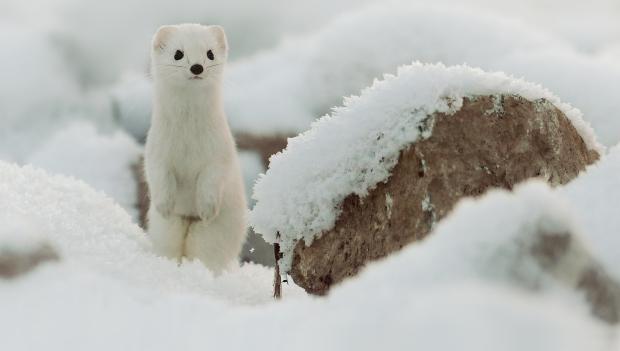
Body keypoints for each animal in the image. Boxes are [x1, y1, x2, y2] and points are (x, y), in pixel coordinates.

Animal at [144, 23, 246, 274]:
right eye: (178, 53)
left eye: (210, 53)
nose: (197, 67)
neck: (187, 142)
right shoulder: (157, 149)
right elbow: (157, 174)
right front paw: (164, 205)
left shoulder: (219, 152)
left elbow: (213, 177)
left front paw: (207, 209)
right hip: (165, 230)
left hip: (218, 233)